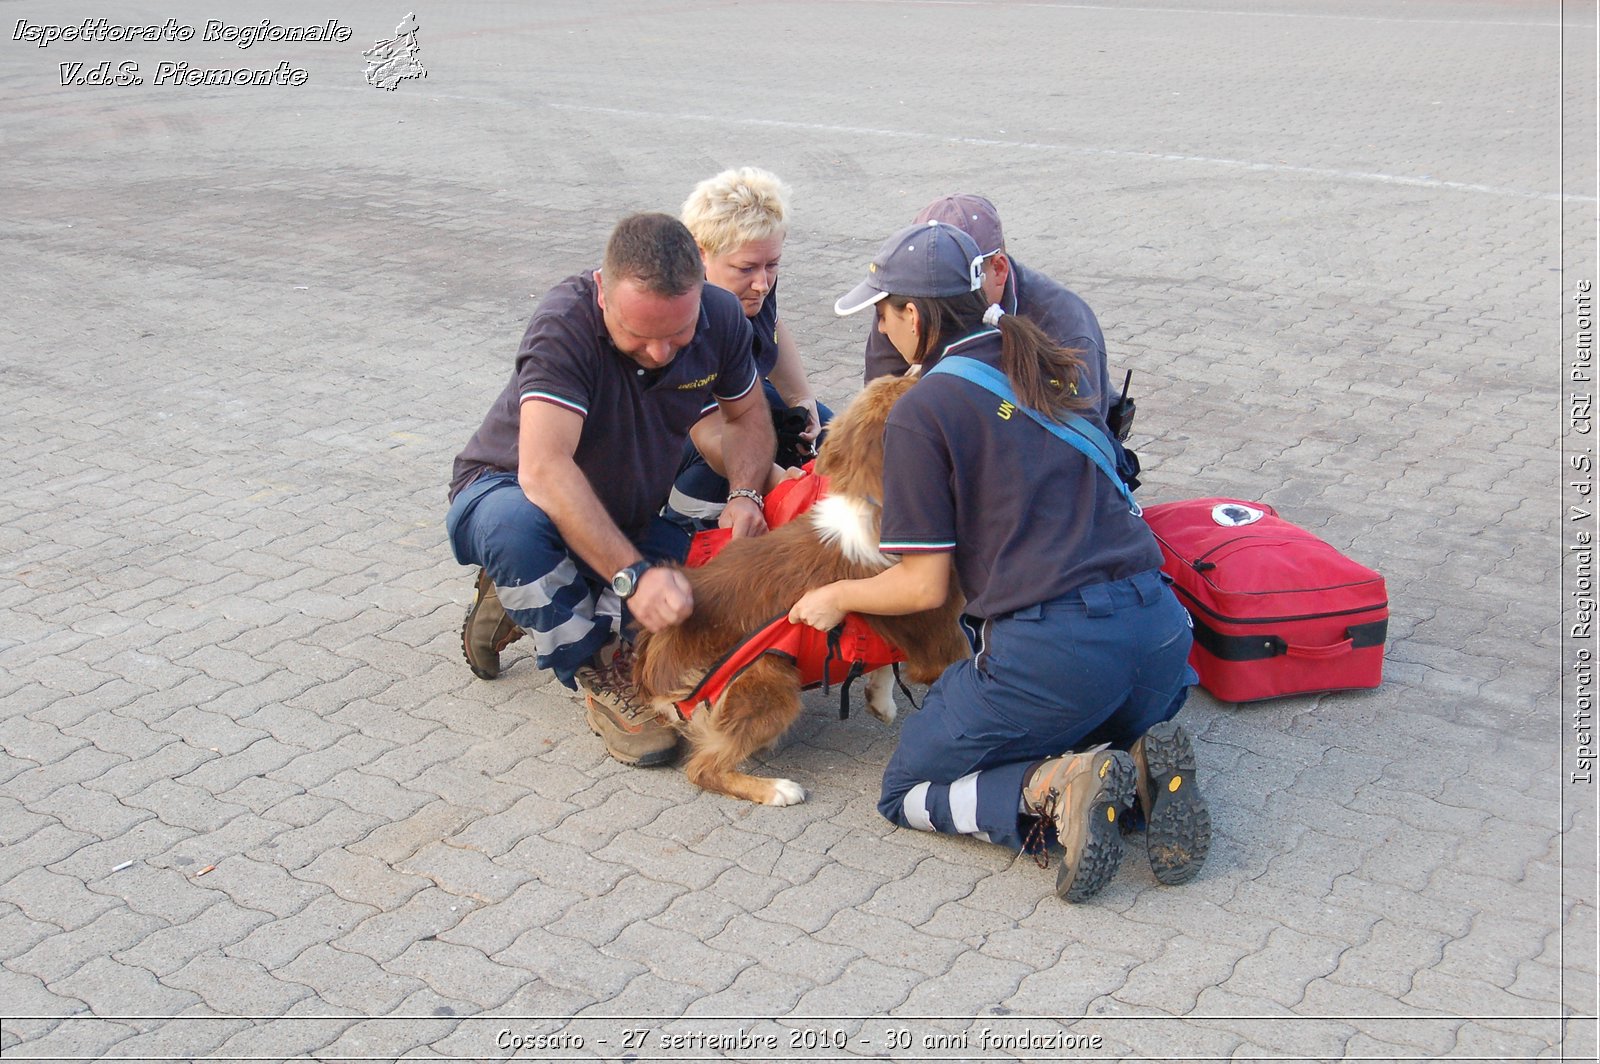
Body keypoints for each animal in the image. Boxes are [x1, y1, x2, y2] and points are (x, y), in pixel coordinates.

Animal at [633, 372, 960, 806]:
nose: (919, 368)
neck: (868, 498)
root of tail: (654, 666)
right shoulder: (940, 639)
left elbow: (883, 659)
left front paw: (881, 701)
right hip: (769, 675)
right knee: (703, 768)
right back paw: (777, 789)